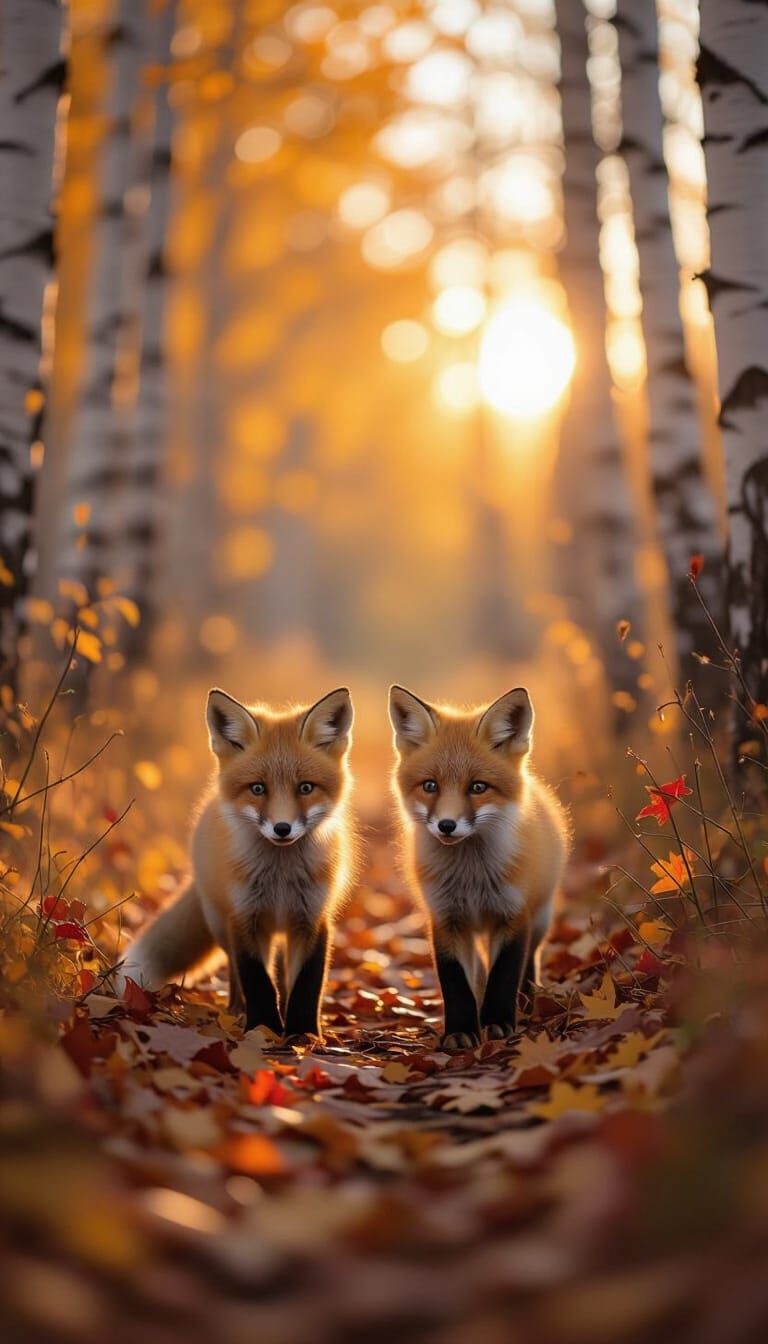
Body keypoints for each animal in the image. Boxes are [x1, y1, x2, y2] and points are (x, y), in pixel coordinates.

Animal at [116, 686, 355, 1040]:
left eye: (306, 788)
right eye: (258, 788)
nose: (282, 828)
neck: (280, 877)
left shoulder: (314, 918)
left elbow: (306, 984)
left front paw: (303, 1033)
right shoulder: (244, 918)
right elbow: (257, 980)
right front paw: (264, 1028)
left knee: (281, 972)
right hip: (222, 924)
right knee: (236, 969)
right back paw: (236, 1010)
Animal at [389, 685, 569, 1050]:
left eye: (478, 787)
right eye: (430, 786)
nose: (446, 825)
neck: (471, 877)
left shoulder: (513, 915)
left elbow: (505, 974)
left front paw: (498, 1022)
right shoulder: (446, 918)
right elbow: (456, 983)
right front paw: (460, 1030)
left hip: (540, 917)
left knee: (530, 961)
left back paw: (526, 1002)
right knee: (477, 972)